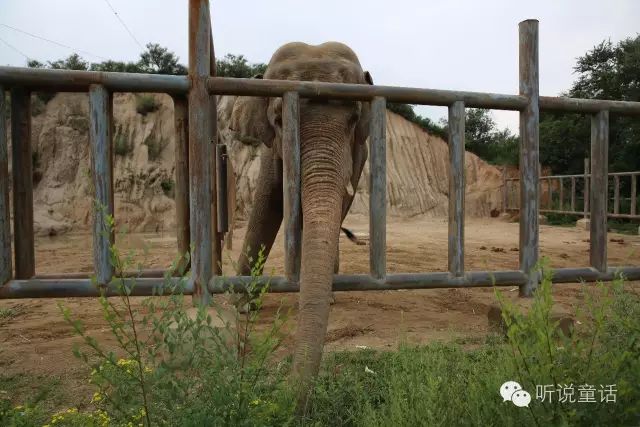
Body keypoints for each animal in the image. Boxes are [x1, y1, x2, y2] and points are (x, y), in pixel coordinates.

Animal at [230, 41, 372, 406]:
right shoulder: (272, 148)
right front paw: (242, 306)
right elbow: (268, 203)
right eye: (280, 120)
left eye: (353, 119)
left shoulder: (357, 154)